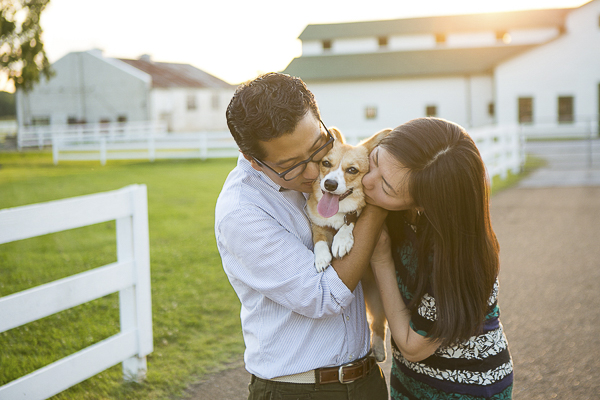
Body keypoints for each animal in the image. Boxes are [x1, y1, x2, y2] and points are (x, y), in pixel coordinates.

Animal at [308, 126, 392, 362]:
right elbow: (318, 238)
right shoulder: (316, 222)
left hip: (377, 297)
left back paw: (379, 349)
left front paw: (341, 241)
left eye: (352, 170)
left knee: (378, 323)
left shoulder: (356, 216)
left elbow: (351, 221)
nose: (330, 184)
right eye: (326, 163)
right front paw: (322, 257)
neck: (338, 212)